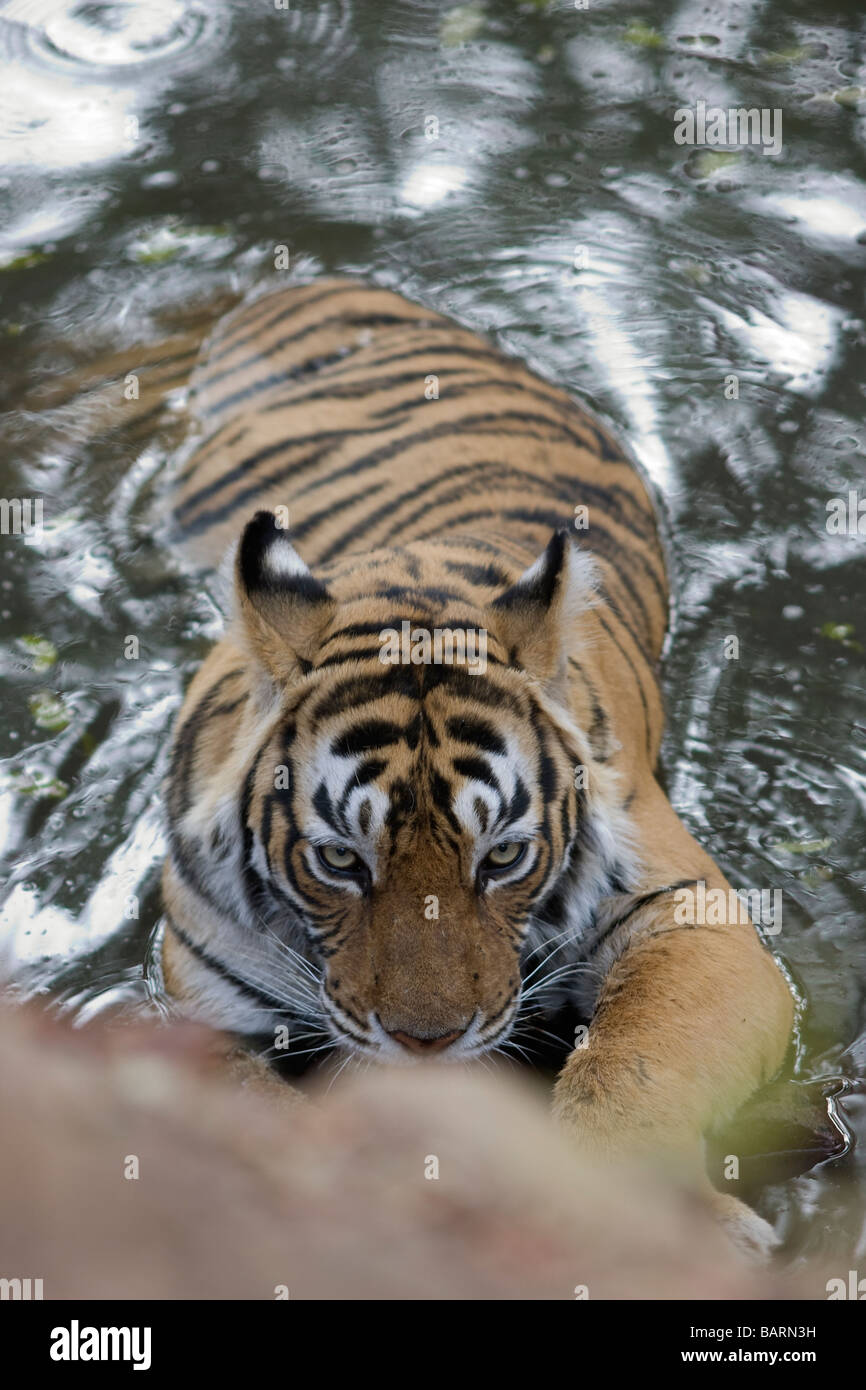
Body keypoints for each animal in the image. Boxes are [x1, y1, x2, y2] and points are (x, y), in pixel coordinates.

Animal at [159, 276, 795, 1256]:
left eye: (502, 858)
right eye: (340, 860)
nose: (428, 1043)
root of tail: (317, 279)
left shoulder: (691, 915)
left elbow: (634, 1073)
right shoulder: (204, 1001)